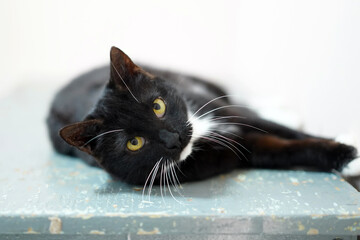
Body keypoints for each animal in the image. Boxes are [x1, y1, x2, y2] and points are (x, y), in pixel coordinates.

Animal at [47, 47, 358, 186]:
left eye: (157, 106)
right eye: (134, 143)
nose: (173, 138)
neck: (199, 134)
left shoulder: (224, 111)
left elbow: (285, 132)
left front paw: (347, 148)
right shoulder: (246, 149)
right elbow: (285, 150)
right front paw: (346, 159)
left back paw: (280, 107)